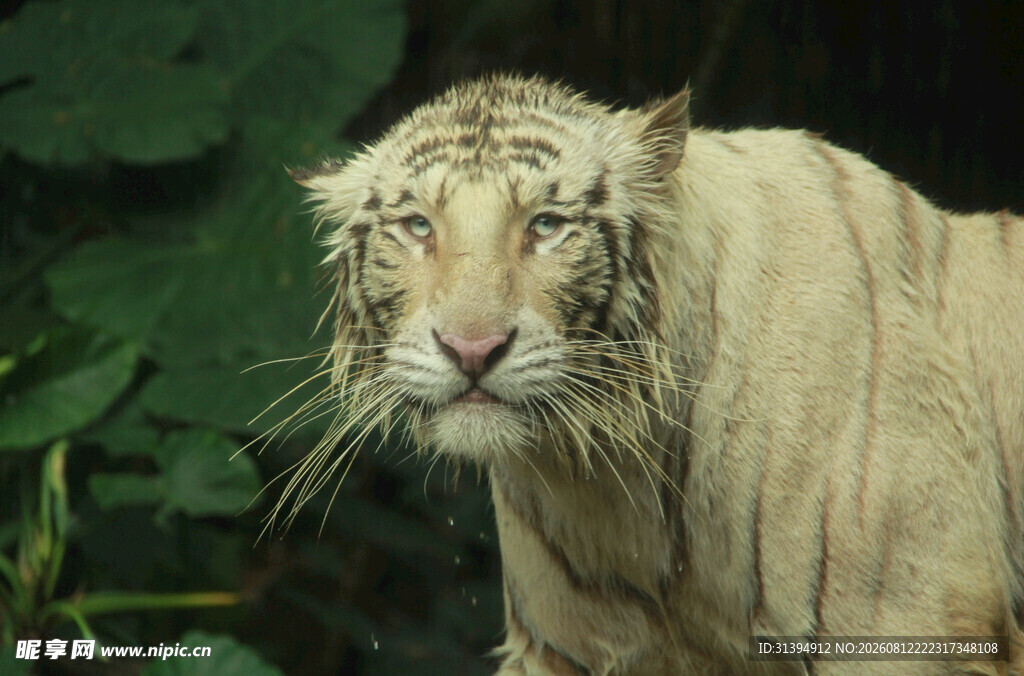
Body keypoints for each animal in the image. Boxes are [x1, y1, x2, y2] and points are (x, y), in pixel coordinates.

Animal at [284, 74, 1024, 674]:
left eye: (545, 226)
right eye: (417, 227)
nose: (472, 348)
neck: (618, 483)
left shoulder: (908, 623)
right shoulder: (572, 648)